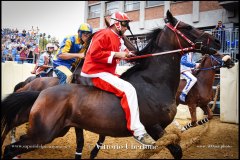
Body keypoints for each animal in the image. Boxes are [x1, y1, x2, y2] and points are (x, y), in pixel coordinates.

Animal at [1, 10, 221, 159]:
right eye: (187, 28)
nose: (217, 41)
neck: (153, 83)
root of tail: (41, 93)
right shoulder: (154, 127)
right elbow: (176, 150)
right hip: (44, 133)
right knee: (10, 146)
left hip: (54, 130)